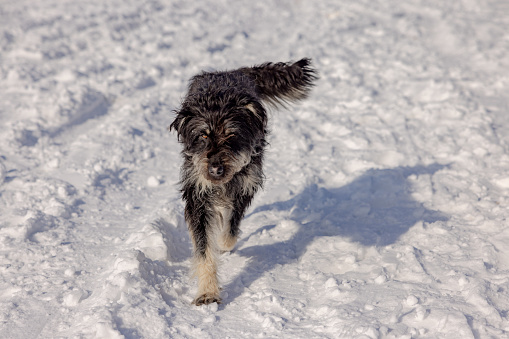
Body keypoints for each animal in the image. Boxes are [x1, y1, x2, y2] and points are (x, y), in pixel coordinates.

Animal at [169, 57, 316, 306]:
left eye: (231, 135)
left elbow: (231, 226)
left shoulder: (246, 185)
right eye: (203, 135)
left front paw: (223, 243)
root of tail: (232, 72)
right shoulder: (198, 195)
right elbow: (204, 249)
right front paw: (207, 293)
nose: (215, 168)